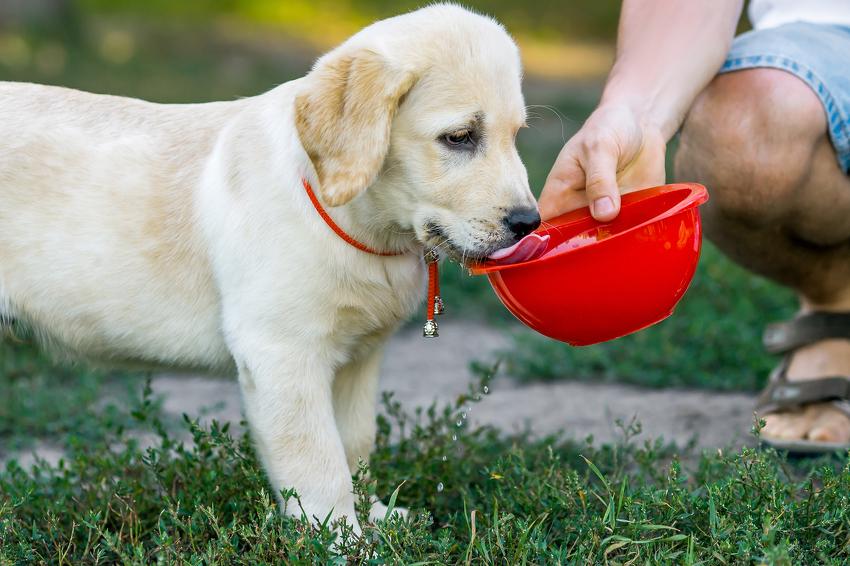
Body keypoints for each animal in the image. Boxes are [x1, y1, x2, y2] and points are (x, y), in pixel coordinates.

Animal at [0, 3, 536, 532]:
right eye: (460, 137)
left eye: (515, 136)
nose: (528, 223)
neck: (358, 224)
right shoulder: (281, 353)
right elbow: (319, 463)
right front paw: (342, 539)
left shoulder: (360, 357)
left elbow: (355, 443)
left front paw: (375, 517)